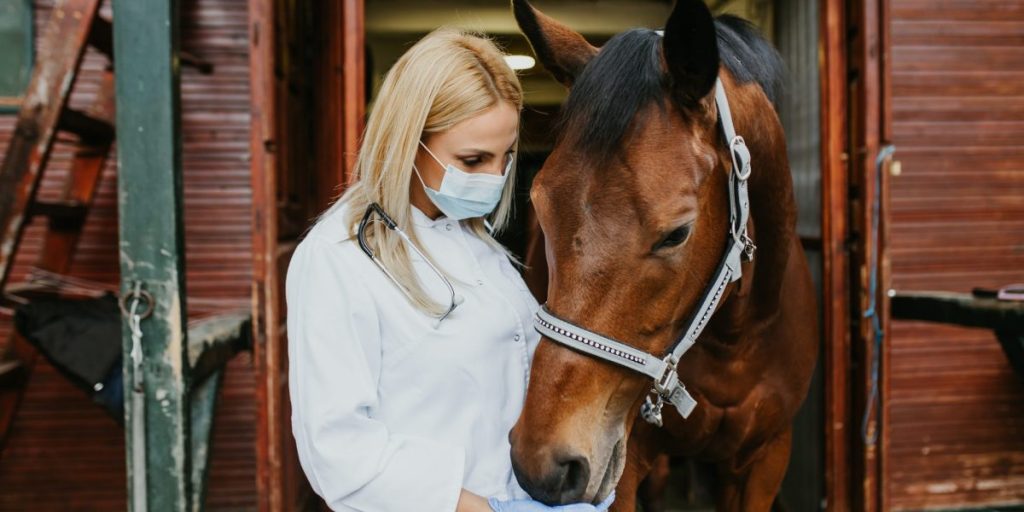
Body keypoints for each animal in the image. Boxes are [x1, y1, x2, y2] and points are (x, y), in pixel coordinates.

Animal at [509, 1, 815, 512]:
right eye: (540, 204)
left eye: (677, 234)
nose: (541, 462)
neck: (735, 341)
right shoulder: (629, 467)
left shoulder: (766, 458)